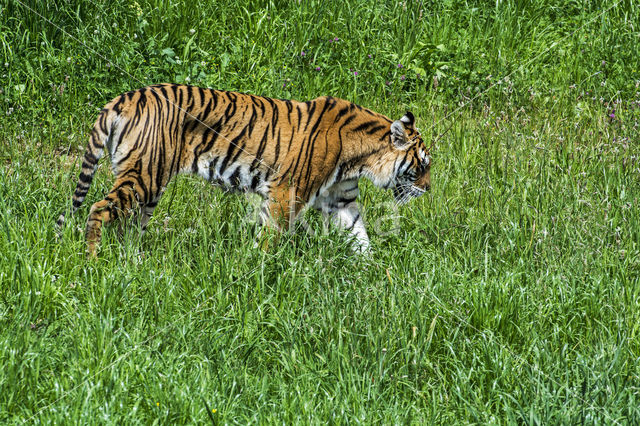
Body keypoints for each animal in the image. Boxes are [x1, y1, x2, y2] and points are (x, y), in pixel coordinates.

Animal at [57, 84, 432, 256]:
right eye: (422, 166)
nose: (429, 190)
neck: (360, 159)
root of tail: (124, 98)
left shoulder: (342, 200)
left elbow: (360, 236)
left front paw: (376, 276)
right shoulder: (286, 190)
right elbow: (271, 234)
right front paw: (258, 269)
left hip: (148, 186)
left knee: (129, 227)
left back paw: (131, 263)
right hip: (144, 176)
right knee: (97, 209)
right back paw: (94, 262)